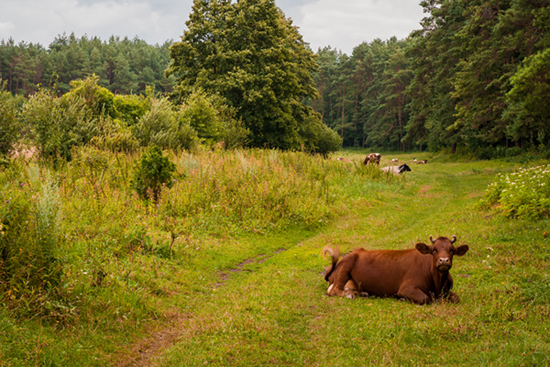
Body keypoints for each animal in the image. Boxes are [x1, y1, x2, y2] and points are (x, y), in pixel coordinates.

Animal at [326, 236, 472, 304]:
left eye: (451, 250)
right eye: (434, 249)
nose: (444, 260)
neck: (437, 285)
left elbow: (456, 298)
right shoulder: (407, 287)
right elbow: (425, 298)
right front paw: (401, 298)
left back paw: (363, 293)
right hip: (346, 266)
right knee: (334, 290)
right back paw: (349, 294)